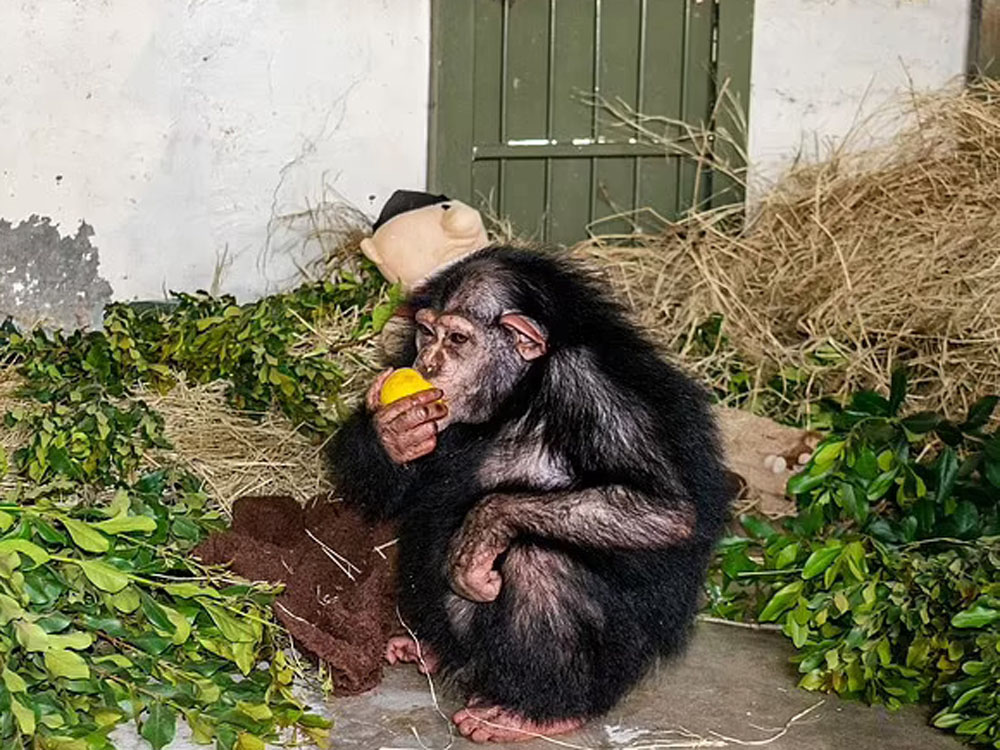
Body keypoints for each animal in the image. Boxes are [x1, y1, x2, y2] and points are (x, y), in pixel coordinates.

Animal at [328, 248, 728, 748]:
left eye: (457, 338)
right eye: (426, 334)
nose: (430, 364)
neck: (521, 392)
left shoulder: (593, 390)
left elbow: (665, 509)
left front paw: (482, 532)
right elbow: (386, 489)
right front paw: (394, 431)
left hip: (616, 664)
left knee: (538, 563)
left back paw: (532, 711)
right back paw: (430, 649)